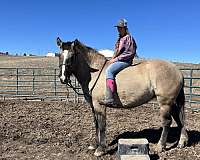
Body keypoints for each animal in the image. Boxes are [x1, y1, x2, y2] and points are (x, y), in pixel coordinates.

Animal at [55, 37, 188, 156]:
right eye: (60, 56)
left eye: (72, 56)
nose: (62, 78)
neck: (95, 72)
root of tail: (177, 71)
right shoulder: (93, 106)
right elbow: (96, 124)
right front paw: (95, 145)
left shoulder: (99, 105)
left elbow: (102, 126)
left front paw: (100, 149)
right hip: (172, 103)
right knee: (180, 119)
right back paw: (182, 142)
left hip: (165, 103)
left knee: (167, 122)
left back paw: (160, 146)